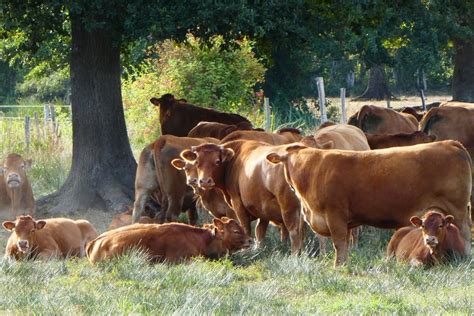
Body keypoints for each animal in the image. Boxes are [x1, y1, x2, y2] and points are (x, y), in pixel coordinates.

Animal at [266, 139, 470, 266]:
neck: (311, 169)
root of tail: (451, 143)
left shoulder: (335, 216)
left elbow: (338, 243)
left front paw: (338, 267)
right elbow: (345, 244)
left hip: (457, 209)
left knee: (466, 233)